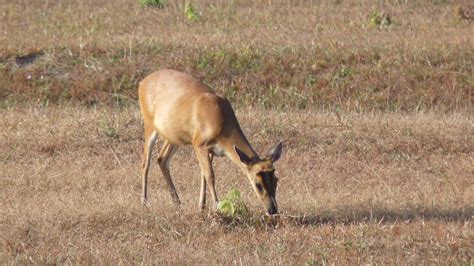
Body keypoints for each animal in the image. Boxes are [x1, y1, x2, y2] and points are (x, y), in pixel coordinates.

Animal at [139, 69, 284, 215]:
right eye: (257, 184)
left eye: (276, 179)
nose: (273, 209)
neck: (222, 125)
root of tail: (142, 82)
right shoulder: (199, 143)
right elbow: (210, 176)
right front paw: (217, 206)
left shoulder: (211, 150)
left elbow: (203, 175)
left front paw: (202, 206)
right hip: (149, 124)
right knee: (146, 163)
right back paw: (145, 202)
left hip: (175, 136)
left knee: (161, 158)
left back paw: (177, 203)